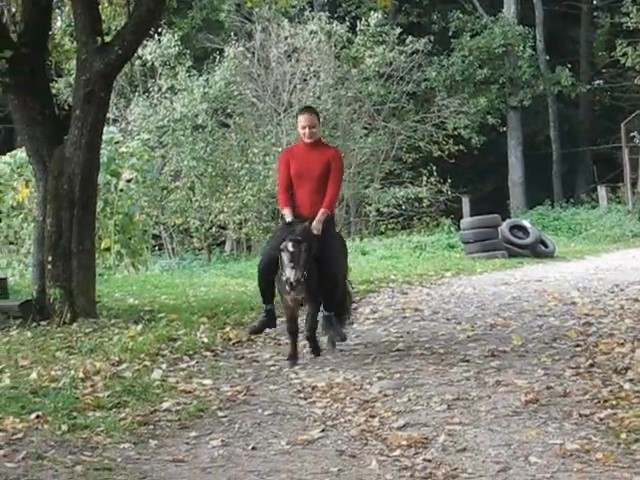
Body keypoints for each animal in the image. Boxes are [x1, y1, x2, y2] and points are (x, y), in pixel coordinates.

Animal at [276, 220, 352, 367]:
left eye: (304, 250)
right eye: (282, 249)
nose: (292, 282)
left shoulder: (314, 301)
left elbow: (310, 325)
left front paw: (316, 349)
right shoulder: (288, 303)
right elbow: (292, 329)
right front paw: (292, 358)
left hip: (337, 283)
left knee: (332, 309)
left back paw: (333, 339)